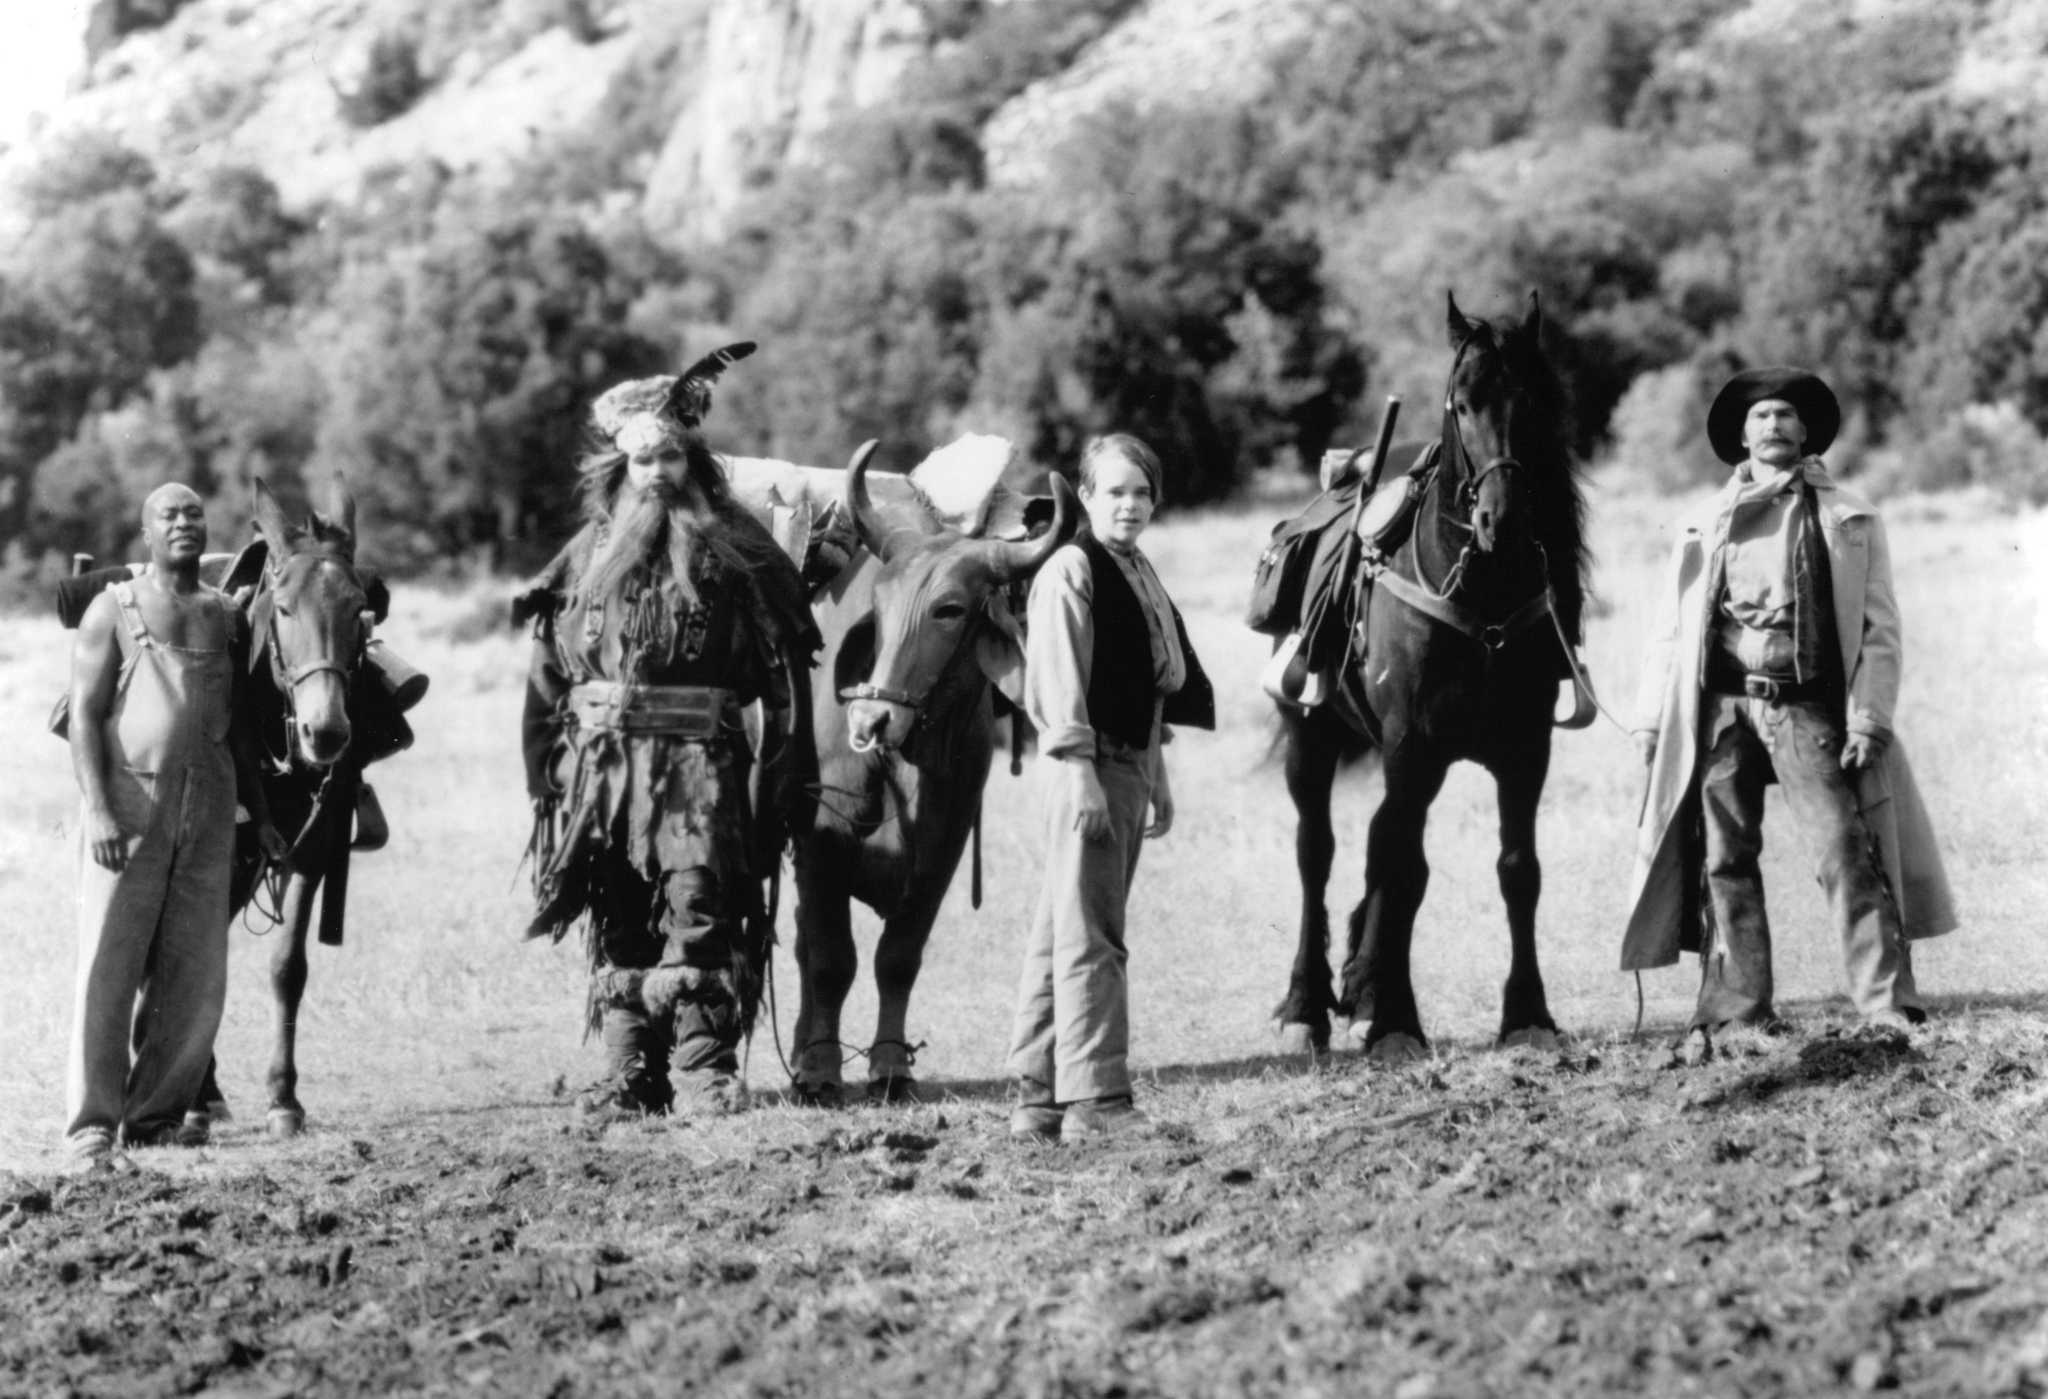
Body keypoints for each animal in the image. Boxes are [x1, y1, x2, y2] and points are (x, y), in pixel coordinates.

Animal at [1269, 292, 1589, 1065]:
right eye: (1463, 403)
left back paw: (1358, 986)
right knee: (1316, 853)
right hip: (1310, 741)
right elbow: (1405, 871)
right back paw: (1307, 1006)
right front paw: (1394, 1022)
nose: (1504, 519)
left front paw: (1527, 1013)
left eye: (1535, 402)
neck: (1482, 599)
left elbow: (1516, 869)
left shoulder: (1524, 751)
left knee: (1376, 845)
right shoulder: (1409, 746)